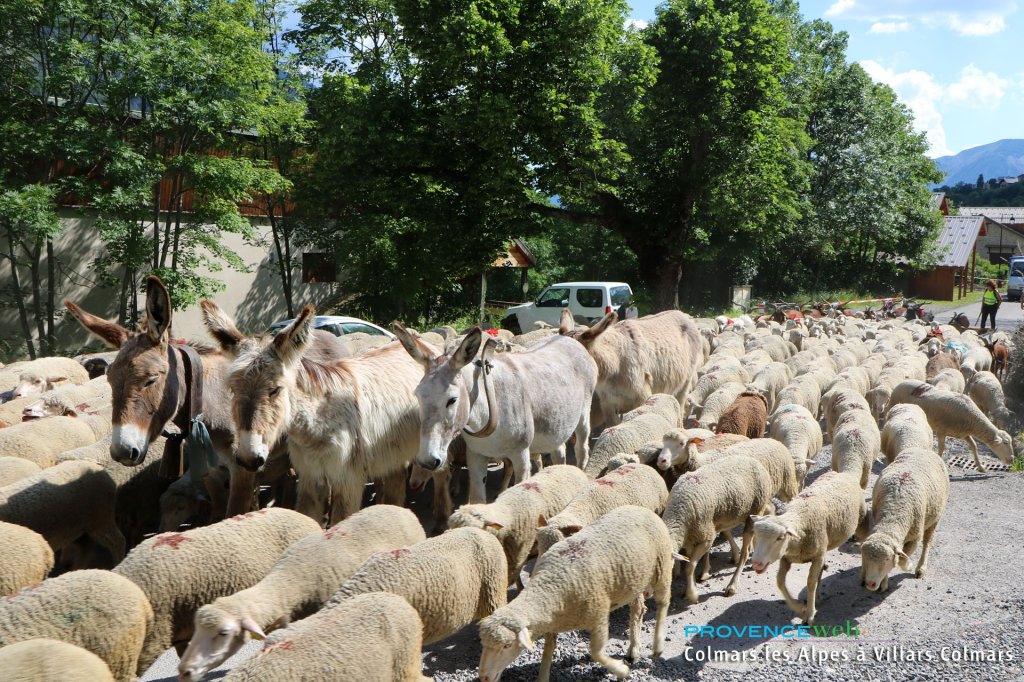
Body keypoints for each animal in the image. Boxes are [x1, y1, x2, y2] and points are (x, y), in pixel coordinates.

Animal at [478, 506, 674, 682]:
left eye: (507, 645)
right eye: (484, 645)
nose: (484, 677)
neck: (549, 587)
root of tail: (642, 509)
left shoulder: (598, 614)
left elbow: (596, 652)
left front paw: (621, 671)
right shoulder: (553, 622)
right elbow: (548, 650)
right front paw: (543, 677)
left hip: (662, 566)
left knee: (663, 602)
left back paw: (657, 645)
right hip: (633, 580)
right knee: (638, 609)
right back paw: (633, 649)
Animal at [662, 456, 774, 603]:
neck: (678, 514)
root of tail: (755, 461)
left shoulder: (706, 538)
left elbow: (690, 567)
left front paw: (692, 594)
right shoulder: (691, 539)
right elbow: (690, 564)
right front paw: (691, 587)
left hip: (755, 509)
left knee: (745, 552)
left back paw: (732, 585)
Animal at [749, 471, 869, 625]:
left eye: (780, 538)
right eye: (755, 534)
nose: (756, 563)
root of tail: (843, 472)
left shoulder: (817, 557)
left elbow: (811, 583)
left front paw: (810, 614)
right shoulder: (786, 557)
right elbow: (780, 581)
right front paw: (799, 607)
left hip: (860, 522)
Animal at [860, 447, 949, 593]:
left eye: (887, 558)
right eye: (863, 557)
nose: (870, 584)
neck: (893, 515)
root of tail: (923, 449)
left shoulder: (914, 539)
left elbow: (902, 559)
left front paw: (908, 565)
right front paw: (884, 582)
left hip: (935, 518)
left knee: (927, 543)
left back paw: (921, 568)